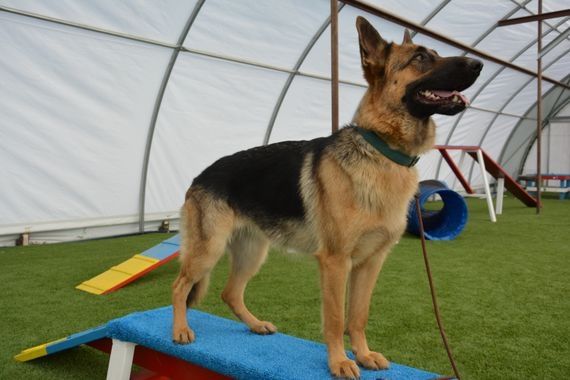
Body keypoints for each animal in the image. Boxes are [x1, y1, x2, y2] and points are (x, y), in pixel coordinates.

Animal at [172, 17, 480, 378]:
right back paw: (180, 329)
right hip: (209, 250)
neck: (382, 151)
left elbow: (358, 315)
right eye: (420, 57)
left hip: (252, 253)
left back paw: (256, 324)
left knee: (229, 293)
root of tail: (200, 176)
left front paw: (363, 354)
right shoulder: (335, 262)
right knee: (180, 286)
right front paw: (339, 361)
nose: (478, 64)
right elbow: (335, 318)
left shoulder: (370, 263)